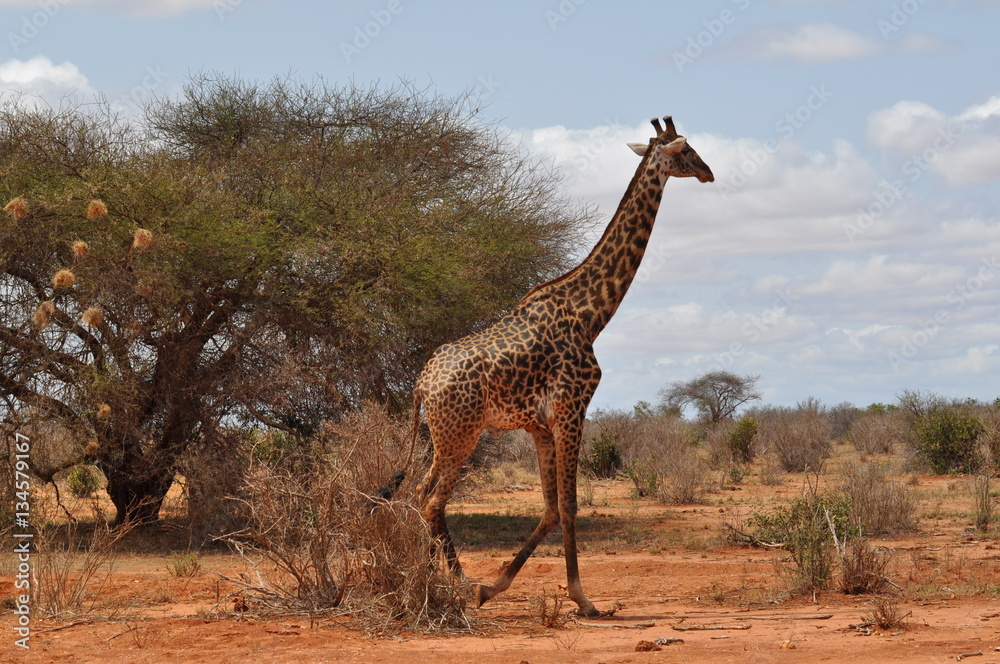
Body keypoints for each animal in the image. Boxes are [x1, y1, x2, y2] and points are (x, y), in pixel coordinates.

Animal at [412, 115, 714, 616]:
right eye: (687, 151)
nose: (709, 172)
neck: (591, 314)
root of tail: (420, 383)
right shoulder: (573, 408)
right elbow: (571, 507)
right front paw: (584, 600)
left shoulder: (540, 424)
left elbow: (551, 507)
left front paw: (496, 586)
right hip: (460, 434)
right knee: (433, 501)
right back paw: (455, 582)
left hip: (442, 435)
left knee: (418, 493)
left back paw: (428, 579)